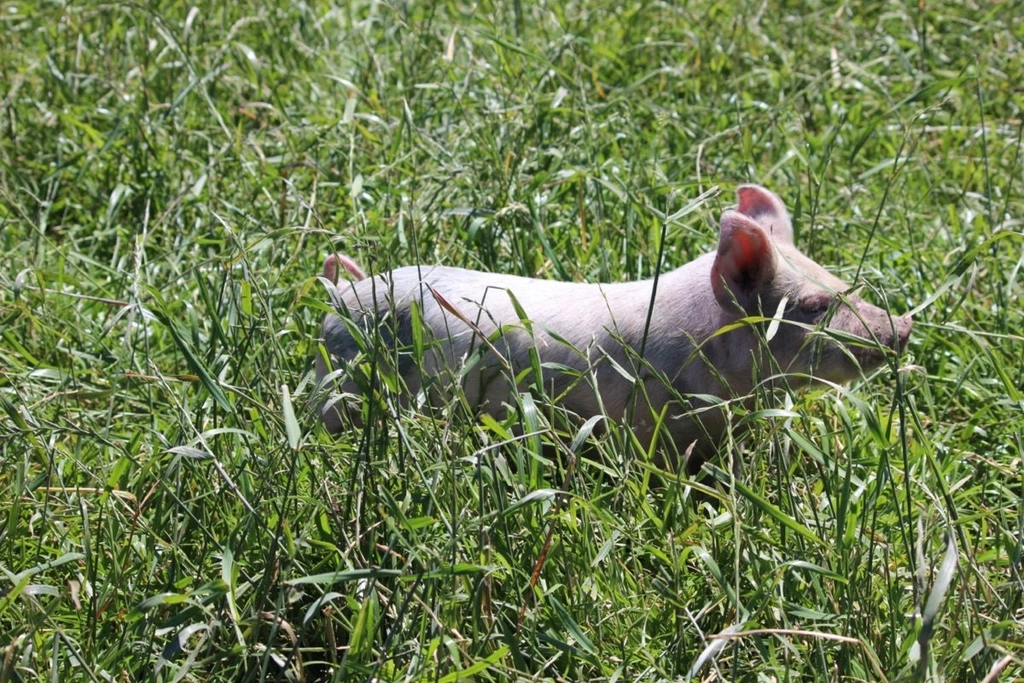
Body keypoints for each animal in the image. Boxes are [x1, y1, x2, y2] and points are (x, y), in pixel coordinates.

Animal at [314, 185, 912, 472]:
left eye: (840, 283)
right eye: (813, 305)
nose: (903, 327)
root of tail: (341, 296)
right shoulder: (650, 425)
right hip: (343, 388)